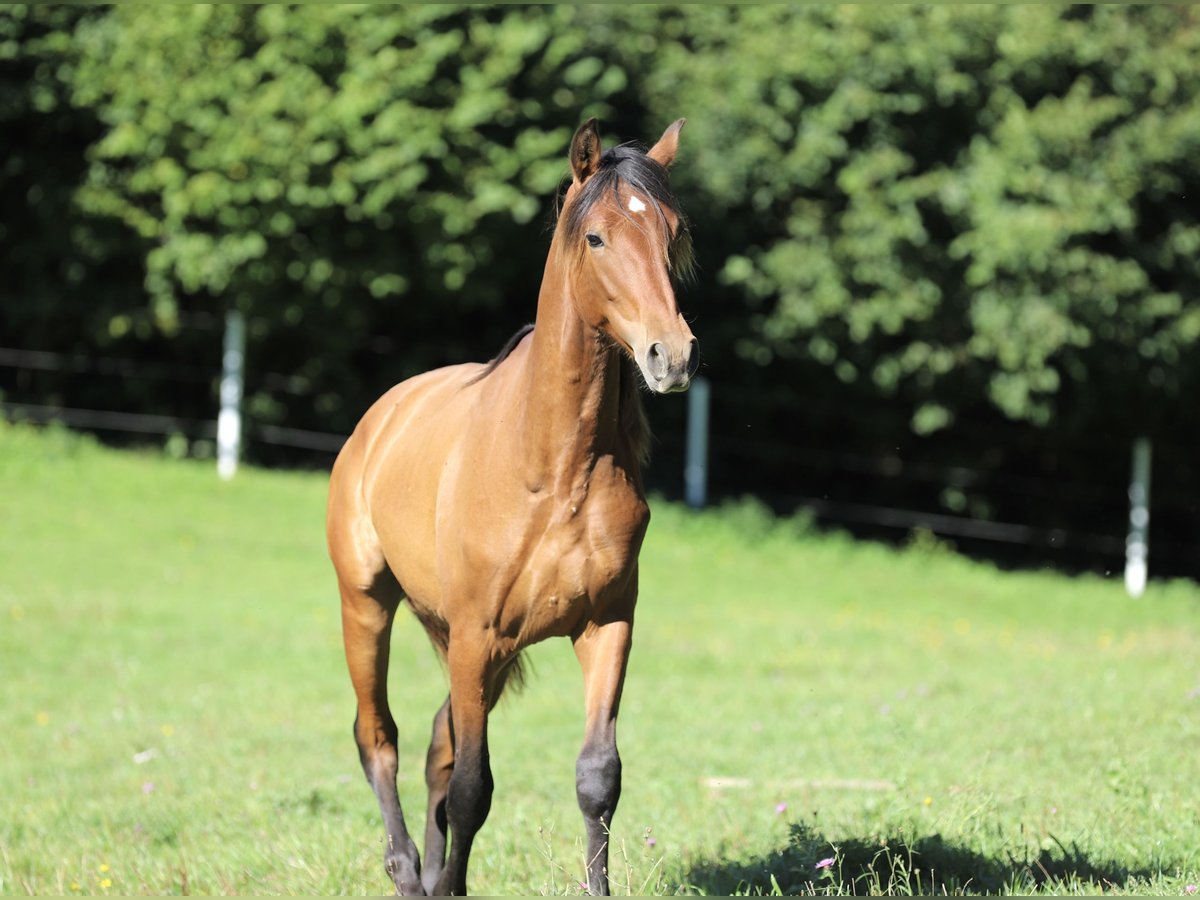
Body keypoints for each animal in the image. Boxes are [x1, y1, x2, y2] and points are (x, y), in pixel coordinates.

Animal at [328, 118, 700, 897]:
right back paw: (407, 872)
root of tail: (382, 416)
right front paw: (445, 882)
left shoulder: (605, 627)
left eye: (672, 232)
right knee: (379, 738)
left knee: (435, 744)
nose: (671, 355)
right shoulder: (477, 636)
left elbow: (597, 778)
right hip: (368, 604)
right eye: (596, 237)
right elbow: (473, 789)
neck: (554, 470)